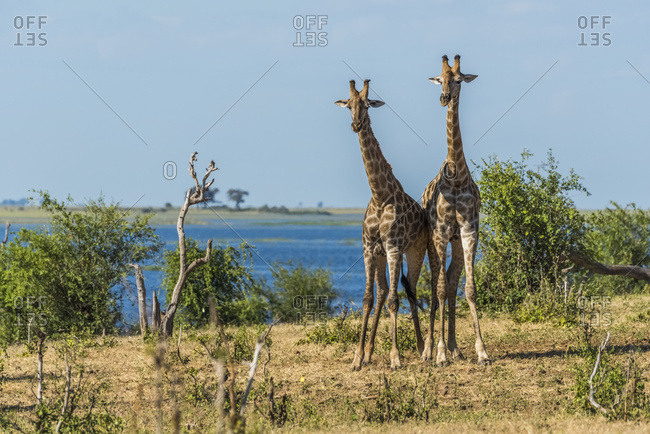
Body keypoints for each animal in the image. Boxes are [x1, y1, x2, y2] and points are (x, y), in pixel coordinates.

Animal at [335, 79, 429, 370]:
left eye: (367, 104)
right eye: (349, 105)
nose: (356, 124)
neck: (379, 195)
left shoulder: (394, 247)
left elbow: (394, 301)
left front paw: (395, 357)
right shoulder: (368, 249)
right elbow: (368, 299)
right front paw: (357, 358)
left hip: (416, 251)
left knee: (410, 291)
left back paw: (421, 348)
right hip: (381, 255)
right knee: (385, 291)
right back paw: (369, 353)